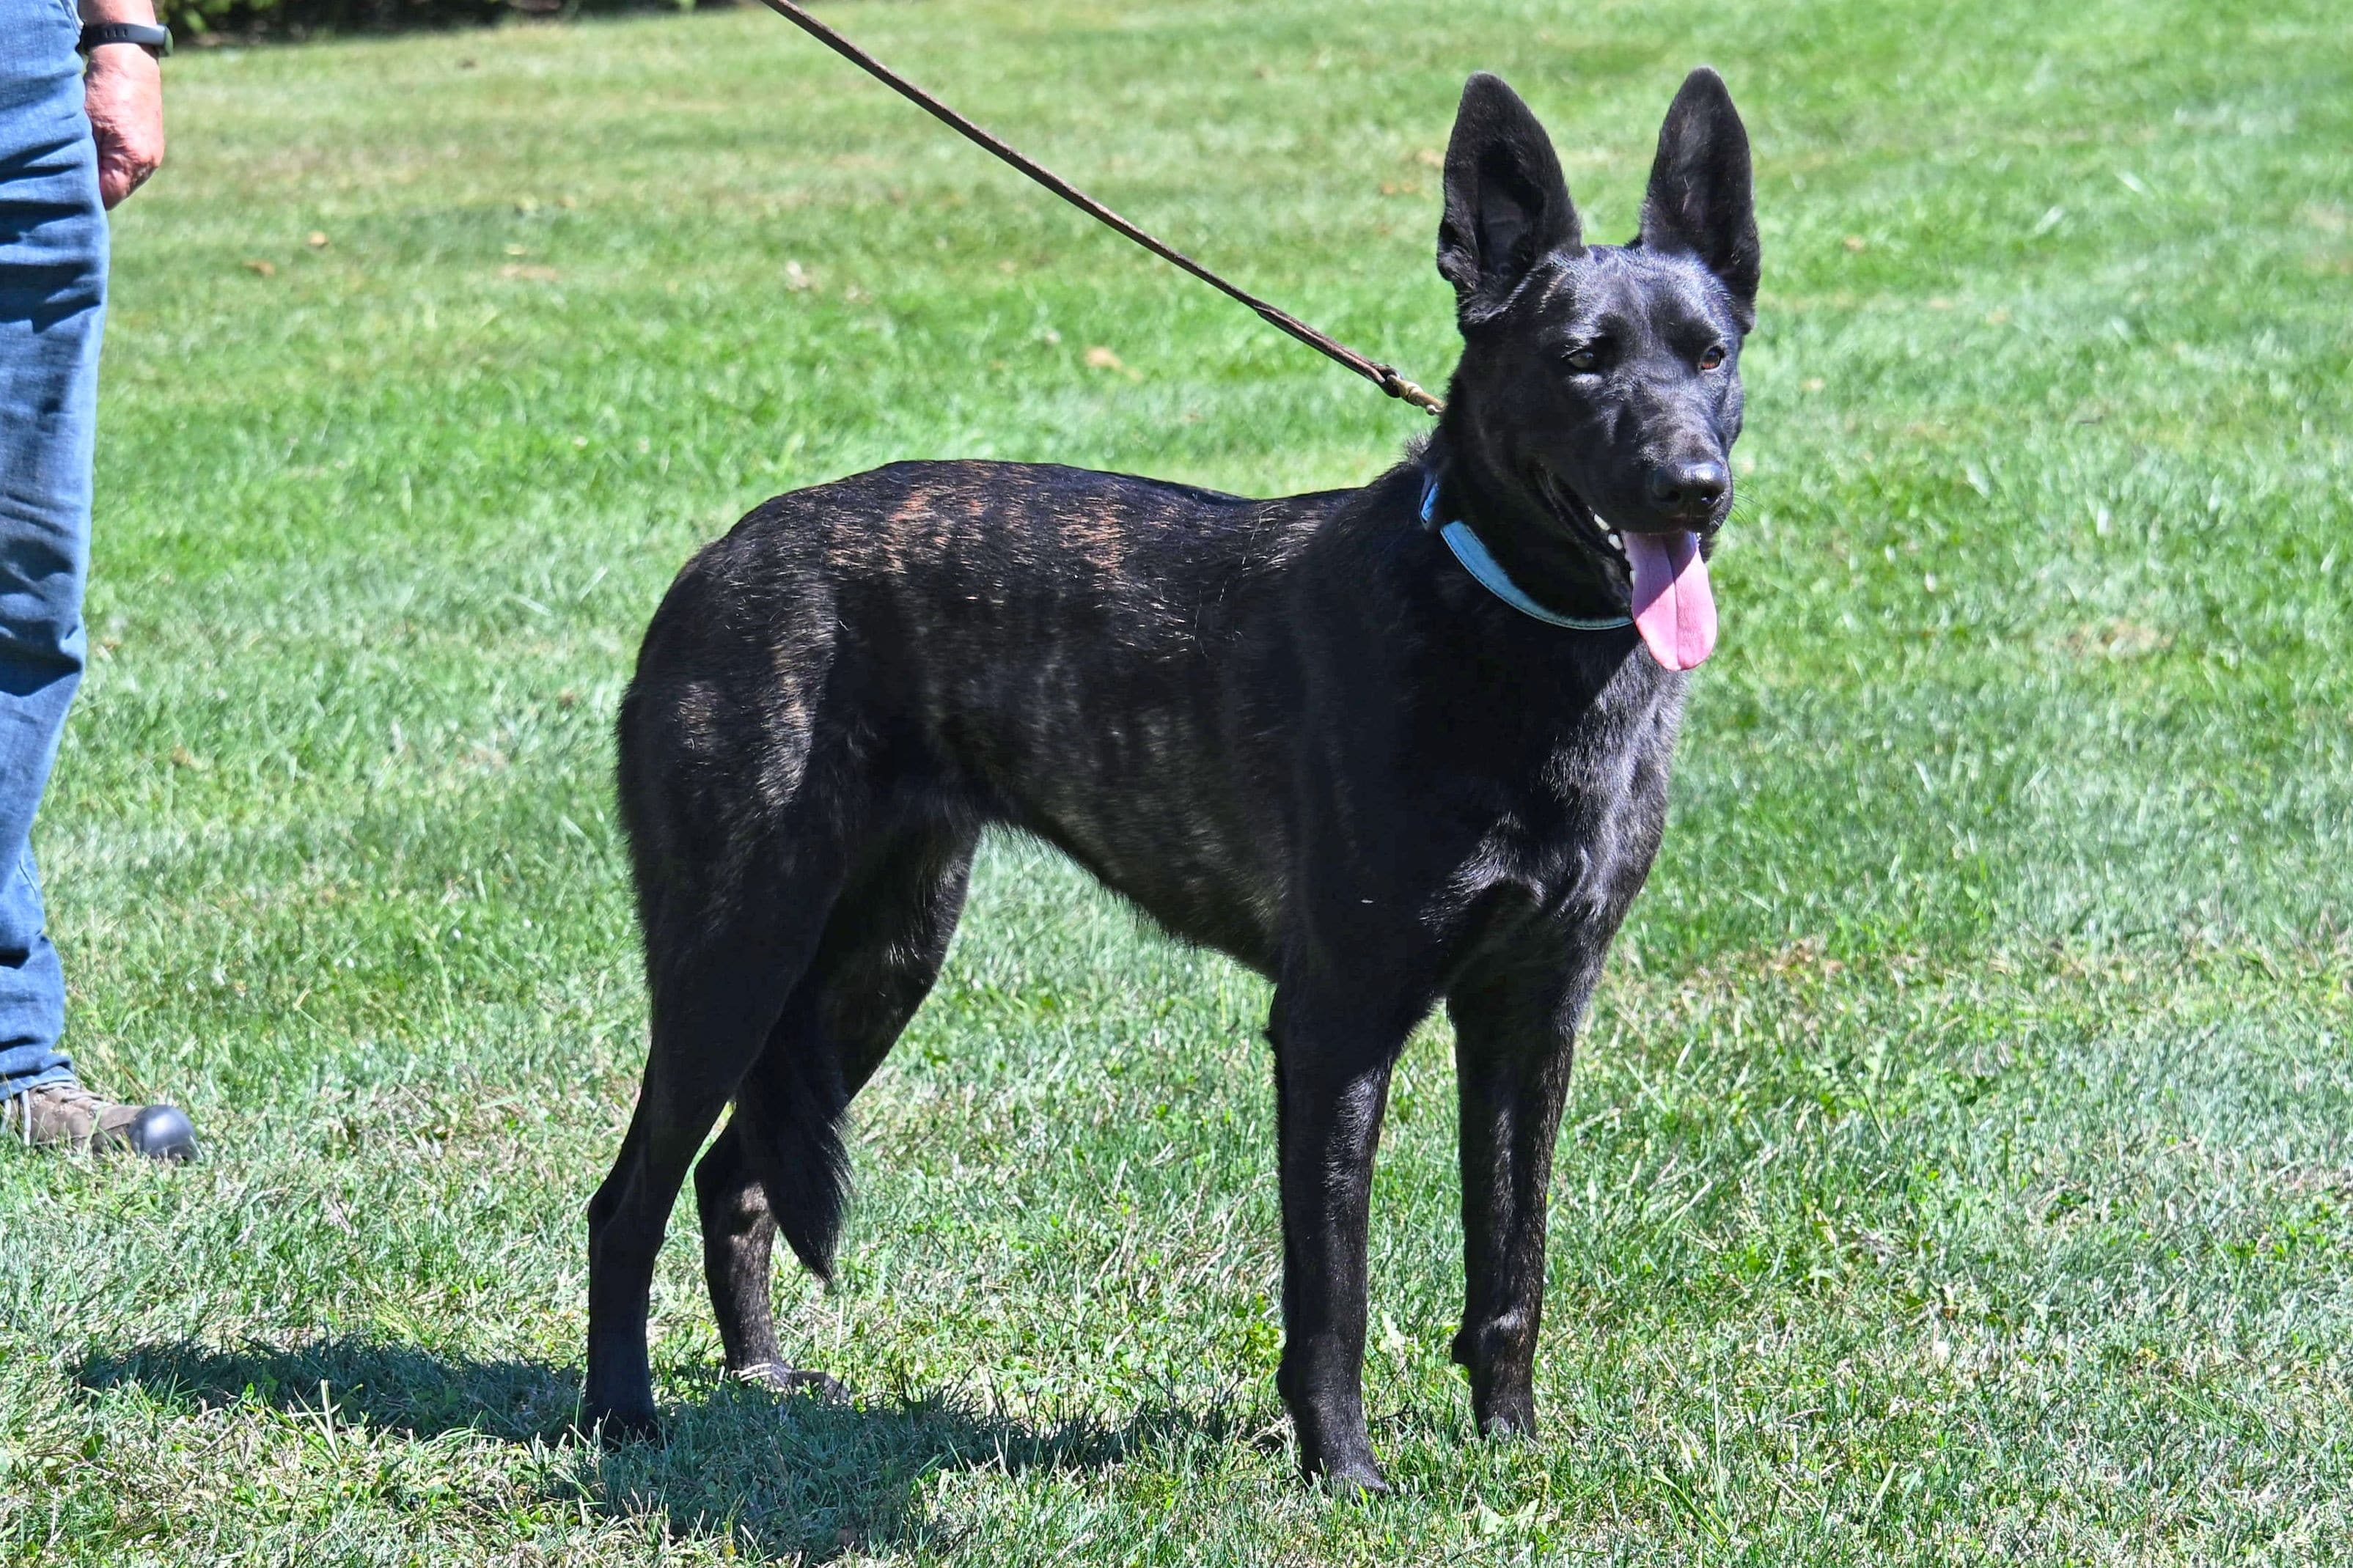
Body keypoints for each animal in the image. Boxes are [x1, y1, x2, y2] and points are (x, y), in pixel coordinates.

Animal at [588, 70, 1760, 1495]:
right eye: (1580, 357)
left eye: (1708, 354)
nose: (1690, 489)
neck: (1501, 618)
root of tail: (714, 558)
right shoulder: (1334, 1025)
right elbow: (1332, 1289)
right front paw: (1343, 1474)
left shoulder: (1532, 1012)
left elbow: (1510, 1263)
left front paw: (1510, 1445)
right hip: (737, 958)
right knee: (628, 1196)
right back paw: (620, 1411)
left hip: (874, 962)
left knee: (732, 1179)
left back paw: (758, 1378)